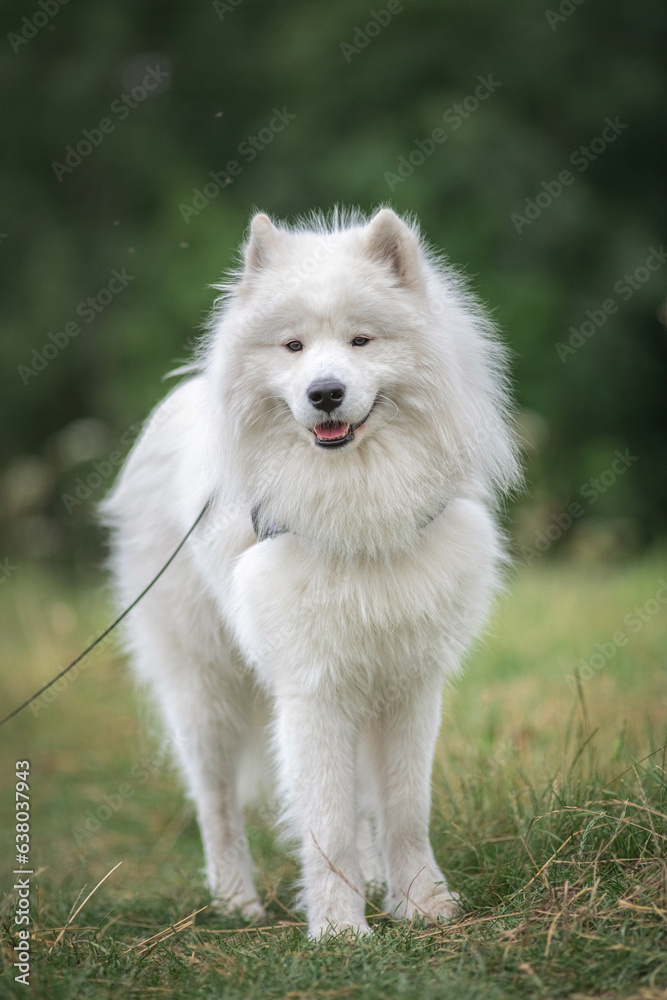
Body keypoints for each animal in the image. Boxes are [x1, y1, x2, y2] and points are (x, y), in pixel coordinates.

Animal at [103, 209, 520, 936]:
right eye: (293, 347)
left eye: (360, 340)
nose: (325, 393)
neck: (358, 505)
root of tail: (185, 391)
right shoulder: (314, 686)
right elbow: (324, 822)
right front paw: (340, 932)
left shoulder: (407, 682)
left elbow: (403, 809)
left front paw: (422, 906)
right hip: (204, 689)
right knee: (216, 803)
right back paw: (235, 902)